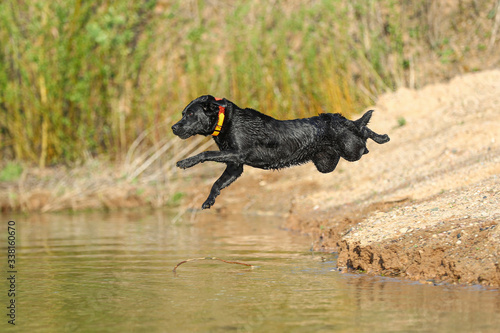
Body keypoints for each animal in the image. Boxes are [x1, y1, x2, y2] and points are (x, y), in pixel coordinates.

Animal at [173, 94, 390, 208]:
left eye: (190, 114)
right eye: (183, 113)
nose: (174, 127)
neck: (225, 120)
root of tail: (344, 120)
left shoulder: (238, 153)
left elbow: (206, 154)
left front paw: (185, 162)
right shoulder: (235, 166)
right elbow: (217, 183)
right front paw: (209, 200)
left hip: (351, 149)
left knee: (363, 134)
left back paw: (382, 137)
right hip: (326, 163)